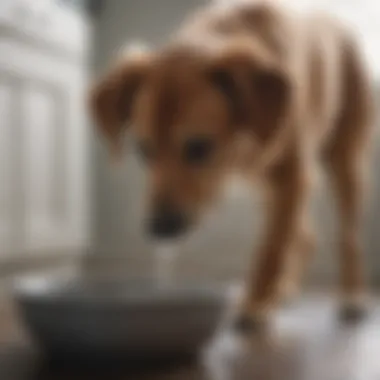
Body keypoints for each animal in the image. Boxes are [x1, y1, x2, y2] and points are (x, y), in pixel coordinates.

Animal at [88, 0, 374, 332]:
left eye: (198, 147)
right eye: (143, 150)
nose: (159, 229)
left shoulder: (292, 174)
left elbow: (270, 250)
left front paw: (254, 304)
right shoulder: (282, 183)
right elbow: (282, 242)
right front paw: (265, 297)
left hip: (344, 162)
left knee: (347, 237)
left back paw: (351, 296)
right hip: (268, 186)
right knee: (305, 236)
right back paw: (282, 290)